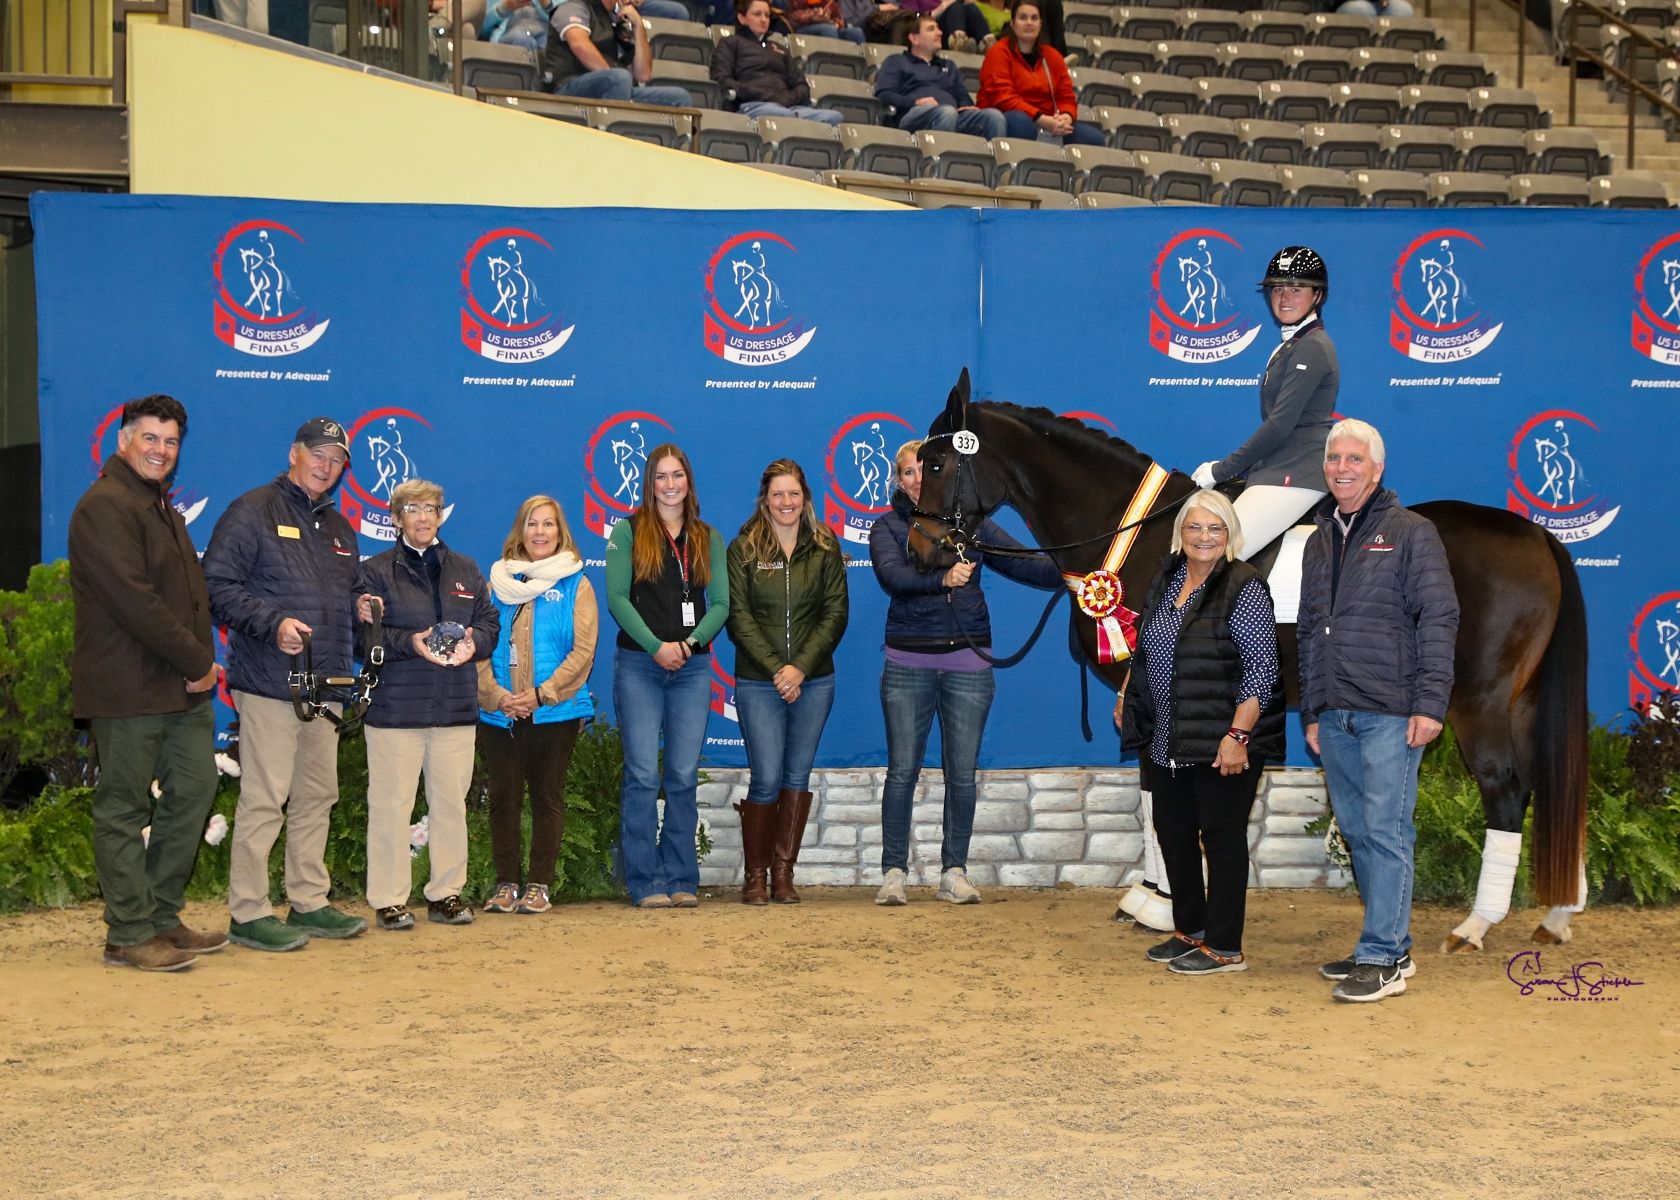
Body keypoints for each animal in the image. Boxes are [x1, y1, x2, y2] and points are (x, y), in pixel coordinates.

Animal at [906, 372, 1589, 952]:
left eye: (936, 464)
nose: (920, 550)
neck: (1134, 533)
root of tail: (1536, 534)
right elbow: (1157, 796)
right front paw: (1152, 897)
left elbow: (1161, 792)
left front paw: (1160, 903)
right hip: (1521, 701)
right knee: (1552, 781)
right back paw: (1557, 914)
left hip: (1478, 701)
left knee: (1507, 789)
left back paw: (1476, 925)